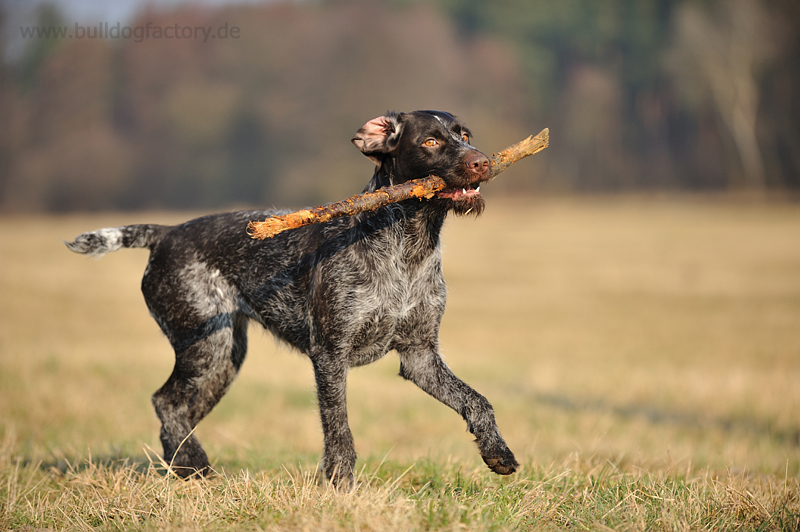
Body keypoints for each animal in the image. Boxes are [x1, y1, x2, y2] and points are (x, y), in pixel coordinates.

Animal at [67, 110, 520, 488]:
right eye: (430, 141)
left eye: (464, 135)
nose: (483, 162)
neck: (408, 247)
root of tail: (166, 234)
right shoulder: (330, 354)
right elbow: (339, 431)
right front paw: (342, 488)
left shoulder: (420, 355)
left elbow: (476, 401)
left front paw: (497, 452)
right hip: (204, 347)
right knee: (165, 402)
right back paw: (192, 464)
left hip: (225, 358)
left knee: (180, 413)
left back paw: (187, 469)